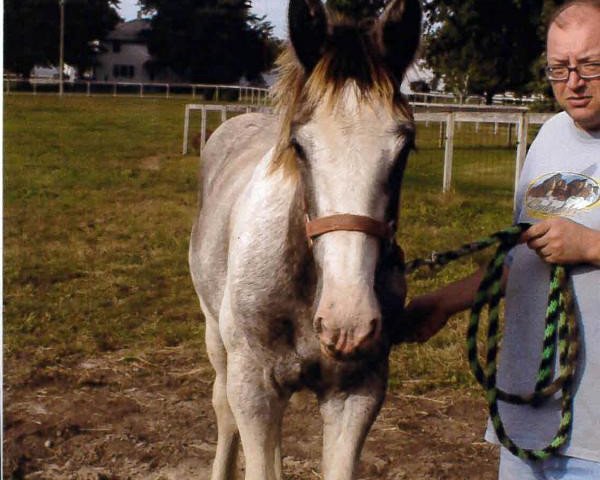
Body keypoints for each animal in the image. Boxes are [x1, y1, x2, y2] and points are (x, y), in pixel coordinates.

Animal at [190, 1, 420, 478]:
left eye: (405, 148)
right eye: (298, 146)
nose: (347, 322)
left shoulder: (357, 394)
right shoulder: (253, 389)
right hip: (215, 335)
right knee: (223, 410)